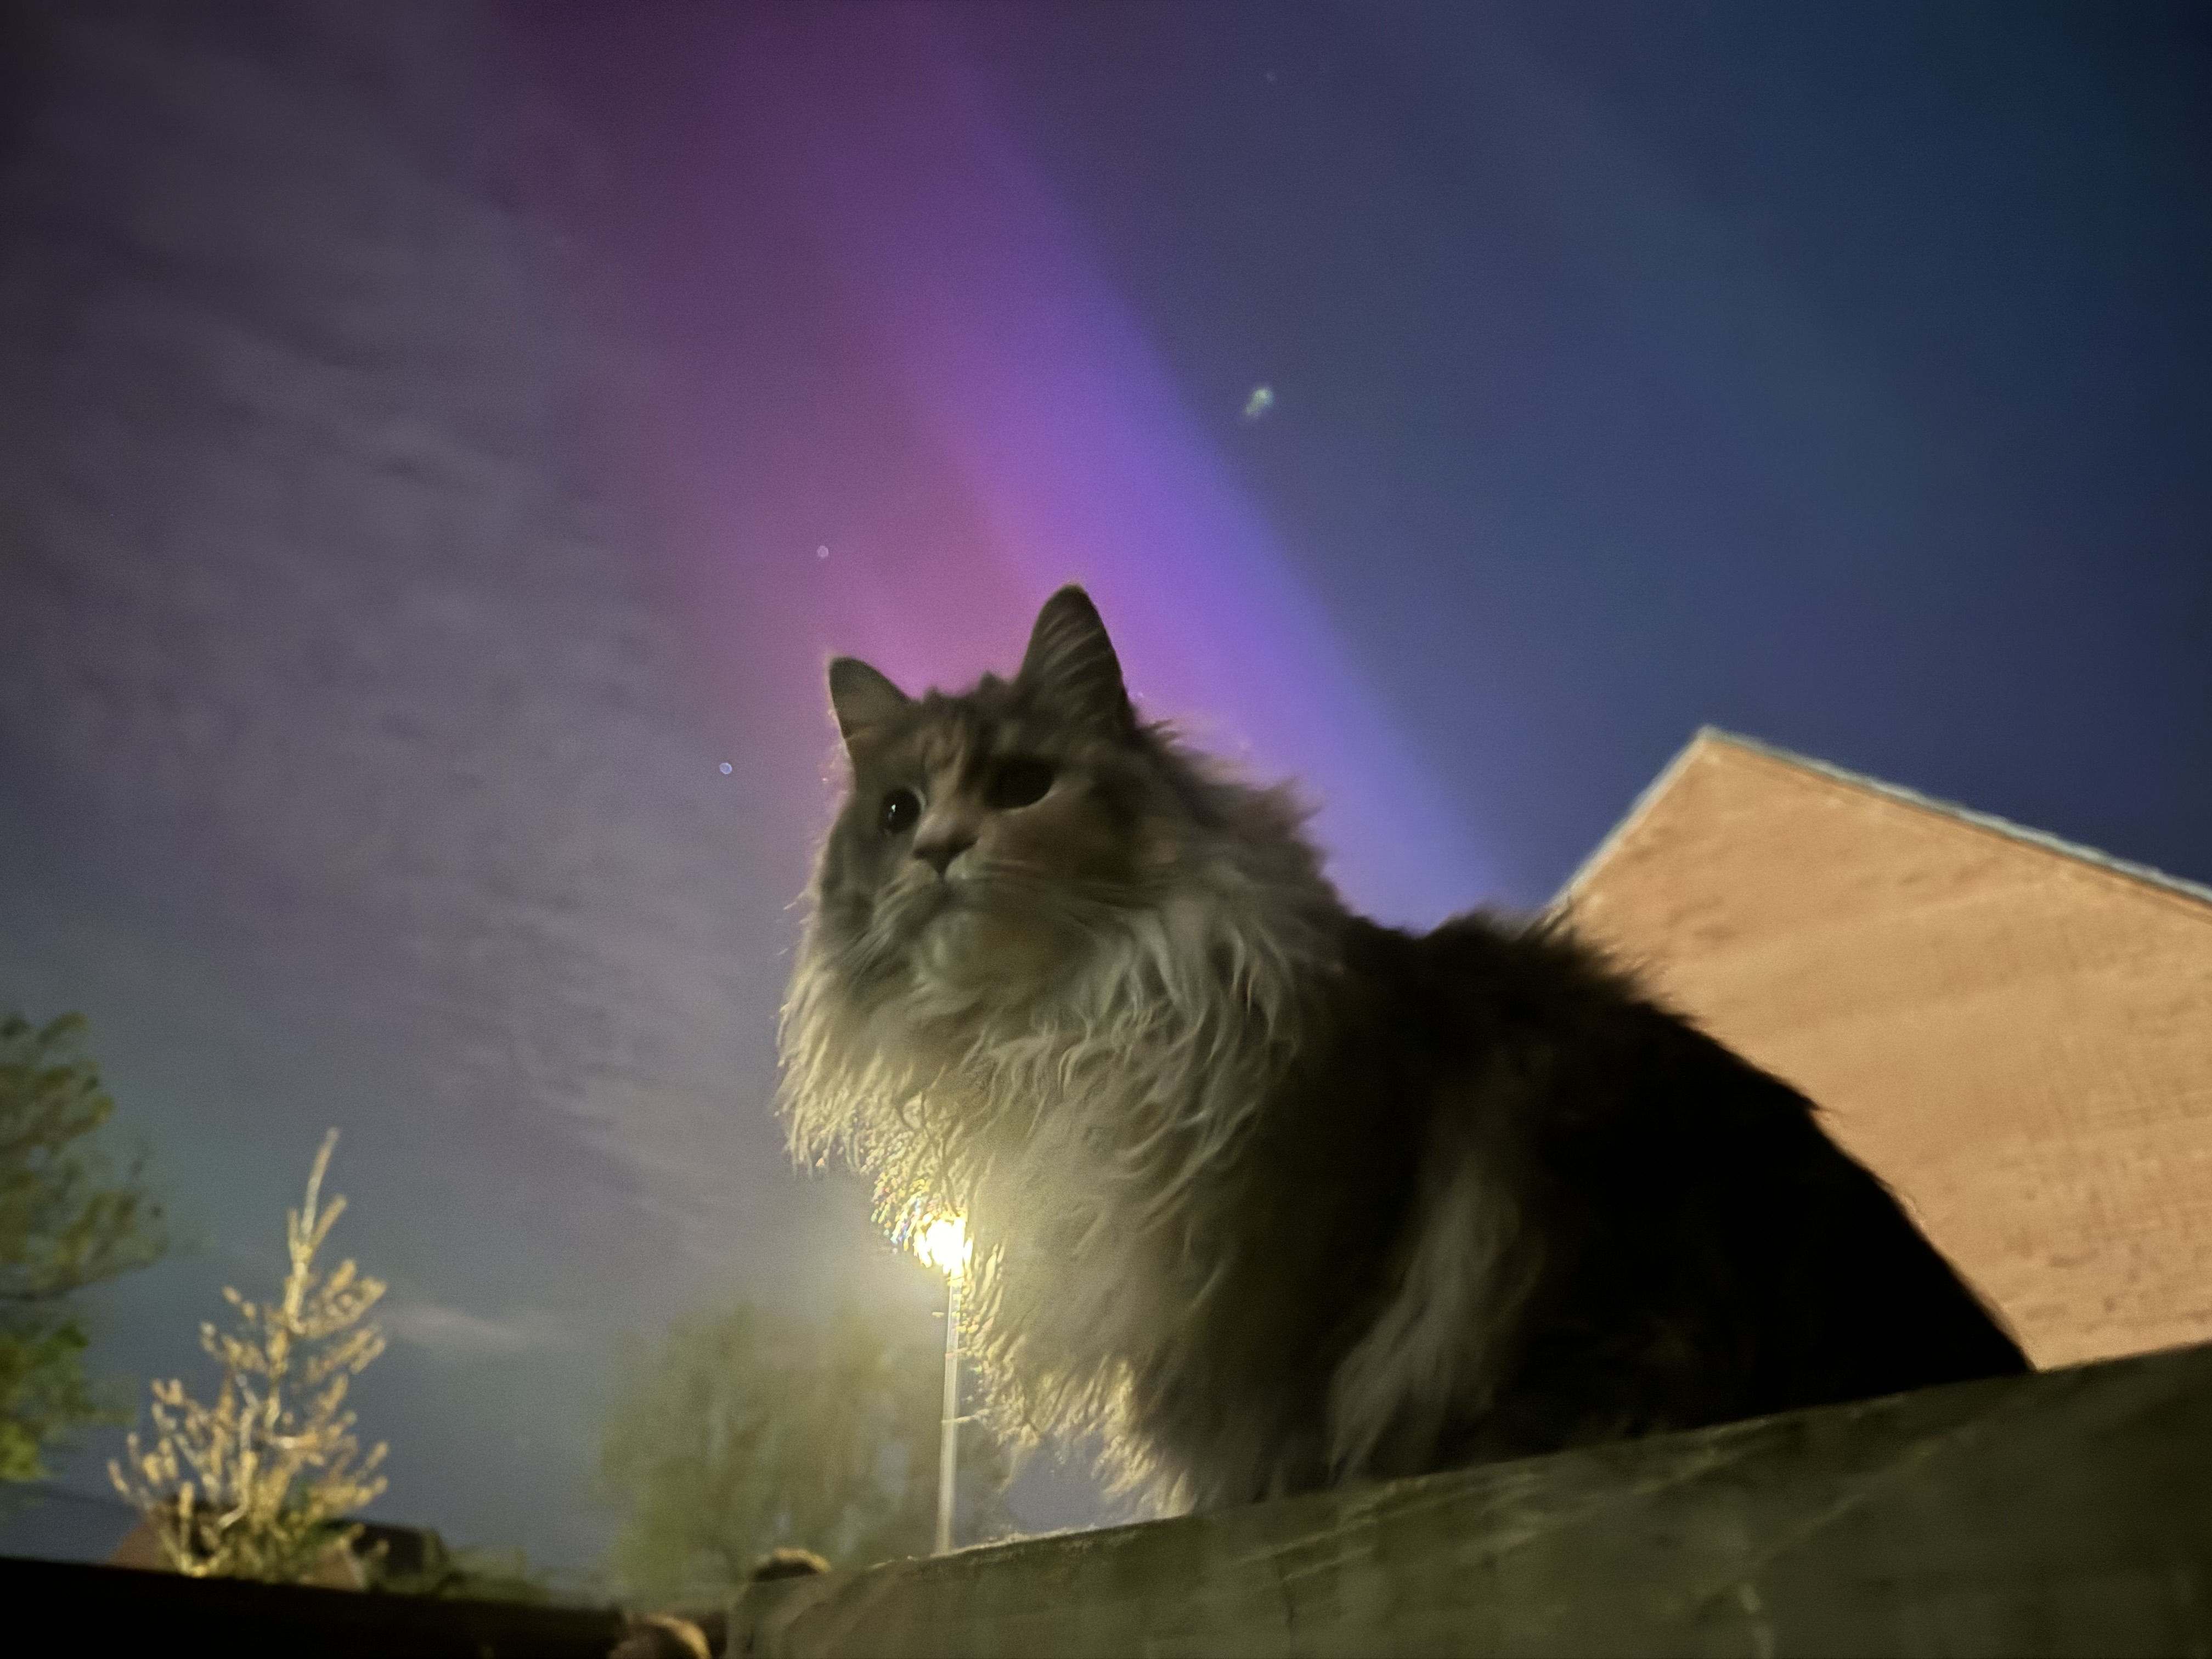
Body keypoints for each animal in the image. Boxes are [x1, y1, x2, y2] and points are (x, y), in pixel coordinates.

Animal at [779, 585, 2029, 1512]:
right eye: (896, 813)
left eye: (1023, 786)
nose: (940, 850)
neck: (1057, 1020)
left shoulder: (1290, 1277)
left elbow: (1265, 1456)